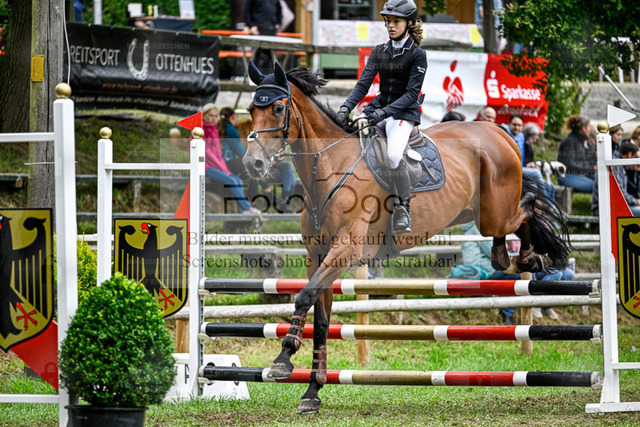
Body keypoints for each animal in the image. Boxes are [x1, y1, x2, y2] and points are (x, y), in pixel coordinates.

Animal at [242, 62, 571, 414]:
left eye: (278, 108)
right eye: (251, 110)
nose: (253, 163)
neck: (331, 168)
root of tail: (500, 132)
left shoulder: (345, 252)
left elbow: (303, 297)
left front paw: (283, 359)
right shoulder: (317, 257)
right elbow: (320, 320)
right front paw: (312, 393)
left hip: (496, 212)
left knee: (528, 209)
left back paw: (532, 257)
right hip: (479, 215)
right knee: (508, 234)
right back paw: (517, 257)